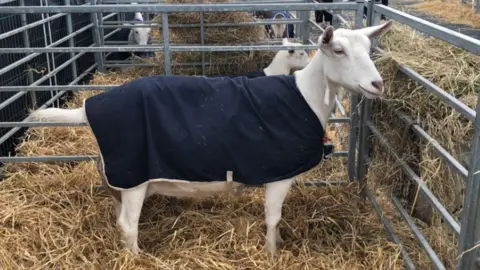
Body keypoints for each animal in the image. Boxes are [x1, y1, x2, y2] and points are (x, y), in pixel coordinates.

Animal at [27, 21, 394, 255]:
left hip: (120, 178)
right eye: (338, 50)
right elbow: (273, 218)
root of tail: (89, 107)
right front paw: (271, 253)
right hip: (134, 176)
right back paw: (137, 258)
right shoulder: (279, 174)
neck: (305, 95)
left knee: (120, 219)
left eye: (369, 47)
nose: (378, 85)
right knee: (128, 225)